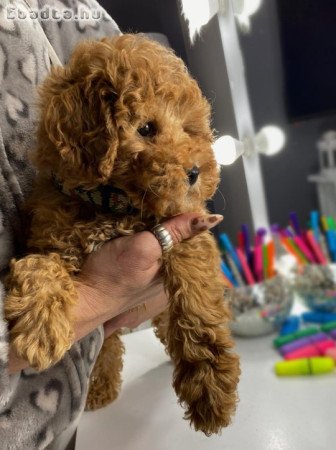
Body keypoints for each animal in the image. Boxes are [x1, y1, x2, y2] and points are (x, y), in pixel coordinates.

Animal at [3, 33, 240, 434]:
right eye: (146, 129)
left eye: (187, 129)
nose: (196, 172)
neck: (110, 203)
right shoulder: (53, 241)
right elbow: (39, 266)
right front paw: (39, 327)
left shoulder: (189, 230)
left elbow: (195, 299)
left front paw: (211, 388)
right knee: (107, 341)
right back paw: (100, 386)